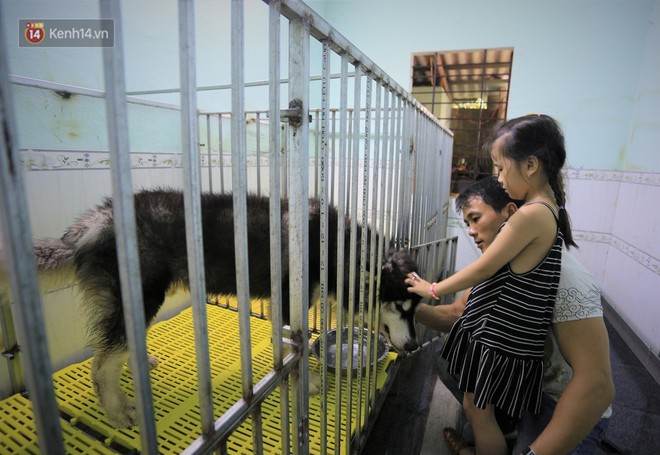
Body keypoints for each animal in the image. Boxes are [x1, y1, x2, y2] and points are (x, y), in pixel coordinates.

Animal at [1, 188, 418, 428]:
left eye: (416, 307)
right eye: (400, 306)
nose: (414, 346)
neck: (335, 248)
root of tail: (98, 218)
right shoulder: (287, 306)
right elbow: (292, 352)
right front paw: (308, 383)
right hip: (142, 296)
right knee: (101, 364)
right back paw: (118, 412)